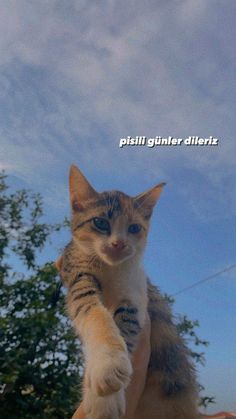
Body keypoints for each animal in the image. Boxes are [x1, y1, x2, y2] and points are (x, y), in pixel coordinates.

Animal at [57, 165, 199, 419]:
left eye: (134, 228)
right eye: (100, 222)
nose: (119, 244)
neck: (111, 268)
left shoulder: (135, 295)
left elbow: (126, 332)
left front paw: (102, 400)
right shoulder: (77, 274)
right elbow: (94, 313)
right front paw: (107, 367)